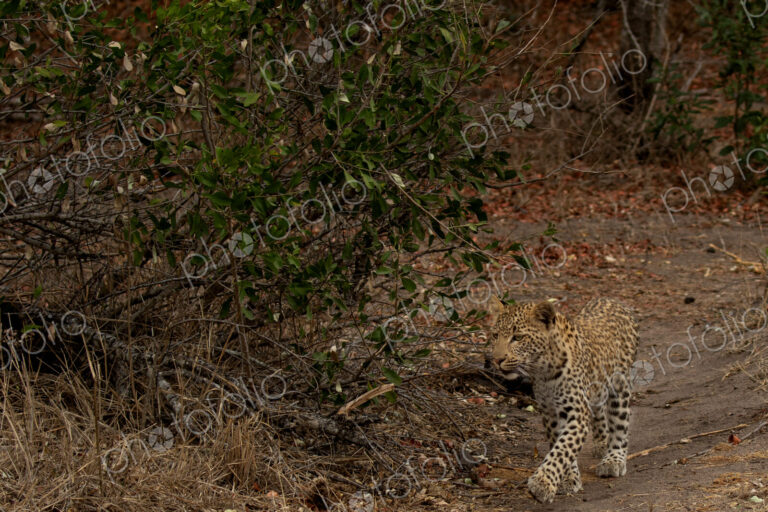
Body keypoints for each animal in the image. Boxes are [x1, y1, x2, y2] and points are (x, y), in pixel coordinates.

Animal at [488, 297, 638, 503]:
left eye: (517, 337)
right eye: (495, 335)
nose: (496, 360)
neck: (542, 370)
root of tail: (611, 299)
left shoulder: (576, 413)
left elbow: (563, 449)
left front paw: (542, 483)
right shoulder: (550, 413)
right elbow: (560, 446)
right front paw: (568, 479)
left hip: (620, 385)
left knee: (620, 424)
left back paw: (613, 459)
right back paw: (601, 442)